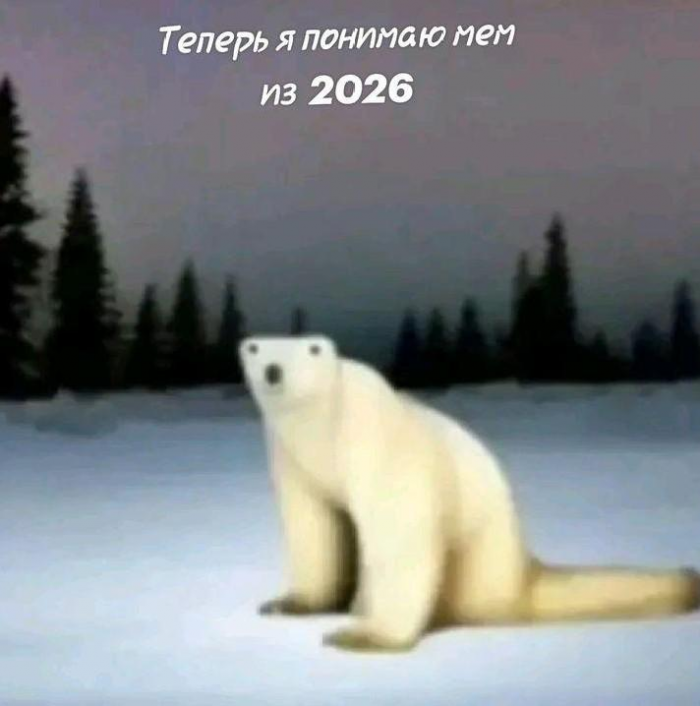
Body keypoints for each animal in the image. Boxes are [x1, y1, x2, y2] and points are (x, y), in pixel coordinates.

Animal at [239, 334, 700, 652]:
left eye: (310, 349)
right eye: (256, 348)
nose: (274, 371)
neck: (321, 430)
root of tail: (521, 570)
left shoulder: (377, 441)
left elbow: (399, 529)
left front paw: (363, 634)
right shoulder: (293, 461)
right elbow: (315, 525)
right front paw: (287, 603)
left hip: (476, 559)